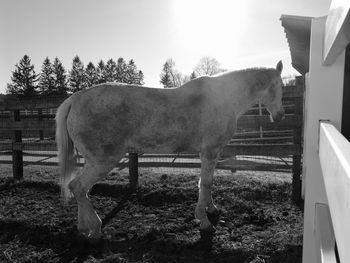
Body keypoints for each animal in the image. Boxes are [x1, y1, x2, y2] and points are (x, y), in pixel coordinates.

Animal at [55, 60, 284, 240]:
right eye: (278, 85)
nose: (280, 115)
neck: (223, 98)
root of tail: (75, 100)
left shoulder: (210, 153)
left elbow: (206, 183)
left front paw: (211, 209)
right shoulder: (209, 151)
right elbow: (205, 183)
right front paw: (204, 221)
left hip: (93, 161)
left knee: (79, 189)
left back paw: (83, 228)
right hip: (103, 160)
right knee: (79, 187)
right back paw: (95, 229)